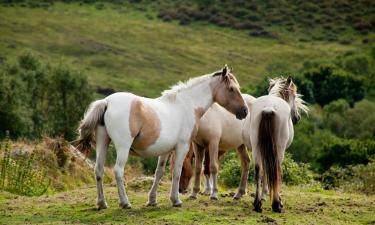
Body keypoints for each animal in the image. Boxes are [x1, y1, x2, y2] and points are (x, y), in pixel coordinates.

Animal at [75, 65, 250, 209]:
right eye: (232, 88)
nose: (245, 111)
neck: (187, 105)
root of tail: (107, 101)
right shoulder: (182, 147)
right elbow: (177, 171)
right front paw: (176, 200)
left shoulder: (166, 151)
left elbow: (158, 173)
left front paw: (152, 200)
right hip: (123, 147)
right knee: (118, 171)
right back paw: (125, 203)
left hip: (103, 143)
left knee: (98, 170)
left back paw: (101, 203)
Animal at [244, 76, 308, 212]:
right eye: (294, 95)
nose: (297, 118)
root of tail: (268, 108)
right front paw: (277, 200)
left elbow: (264, 171)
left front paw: (263, 196)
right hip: (279, 149)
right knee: (276, 169)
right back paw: (276, 204)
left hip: (257, 147)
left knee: (258, 170)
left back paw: (257, 204)